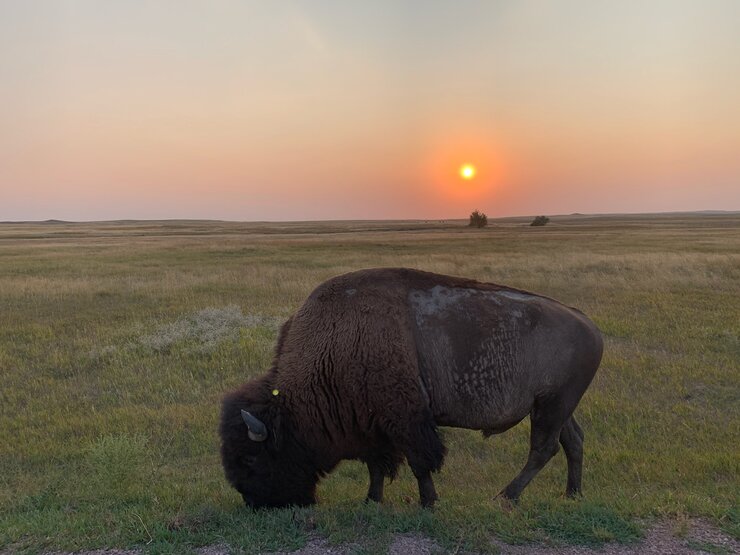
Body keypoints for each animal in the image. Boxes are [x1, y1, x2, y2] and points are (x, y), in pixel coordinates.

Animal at [220, 268, 600, 508]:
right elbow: (377, 464)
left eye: (251, 457)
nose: (254, 503)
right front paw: (371, 500)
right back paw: (572, 494)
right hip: (555, 407)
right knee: (573, 441)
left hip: (551, 406)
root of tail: (587, 323)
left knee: (543, 449)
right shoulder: (372, 425)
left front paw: (427, 502)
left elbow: (419, 463)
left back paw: (506, 497)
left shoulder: (407, 420)